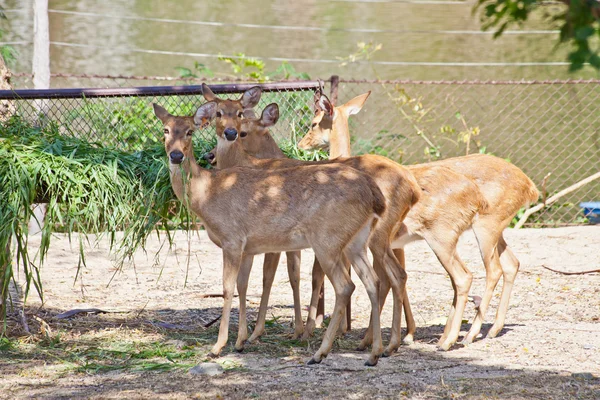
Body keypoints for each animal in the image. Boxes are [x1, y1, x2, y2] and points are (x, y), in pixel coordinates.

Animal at [152, 99, 390, 366]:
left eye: (190, 131)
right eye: (165, 130)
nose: (176, 155)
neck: (205, 193)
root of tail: (374, 195)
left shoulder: (232, 238)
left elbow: (227, 288)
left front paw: (218, 346)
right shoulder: (248, 247)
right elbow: (242, 285)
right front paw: (241, 341)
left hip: (327, 240)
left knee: (346, 286)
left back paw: (320, 353)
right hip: (356, 241)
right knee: (373, 281)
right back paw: (373, 353)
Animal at [298, 90, 536, 346]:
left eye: (314, 122)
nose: (302, 143)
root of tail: (530, 187)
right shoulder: (395, 244)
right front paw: (407, 333)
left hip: (476, 230)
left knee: (483, 272)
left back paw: (460, 337)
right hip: (493, 230)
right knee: (509, 264)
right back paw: (483, 331)